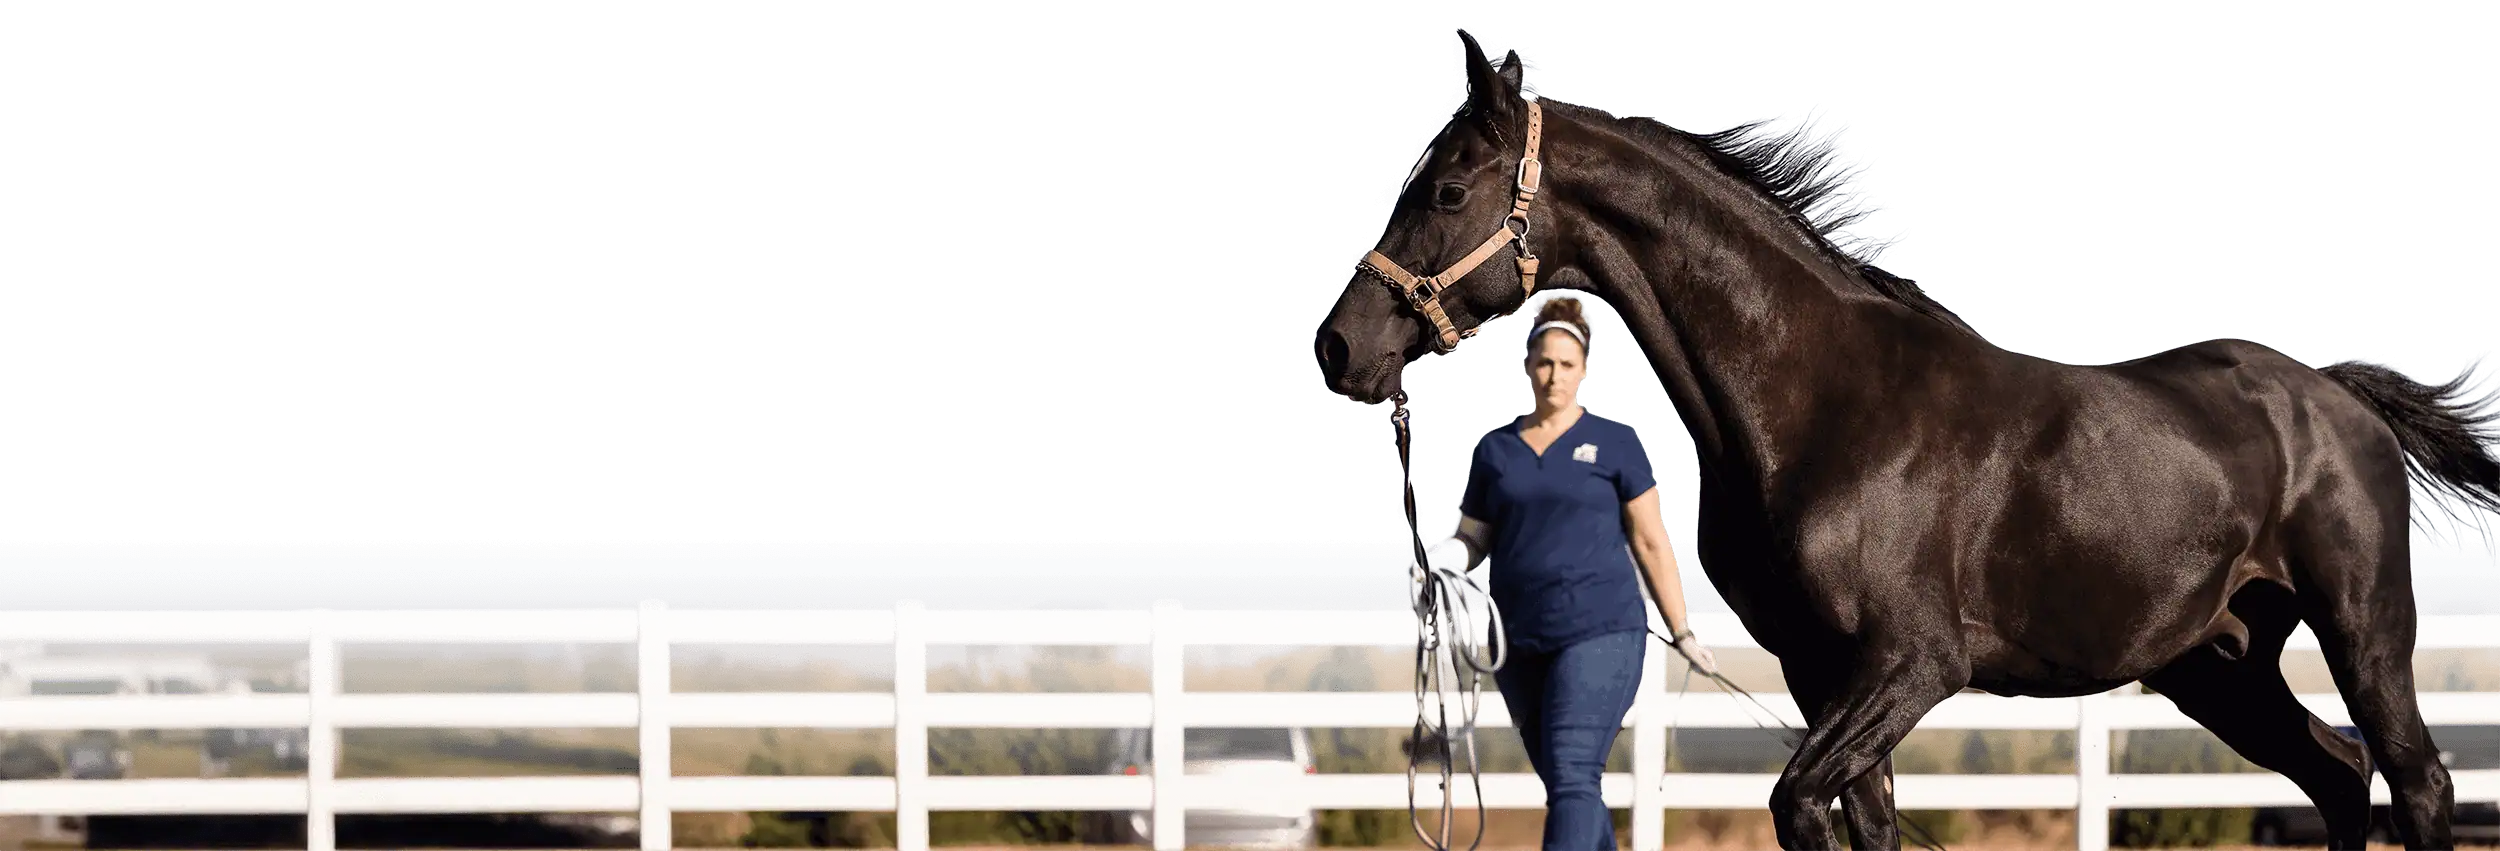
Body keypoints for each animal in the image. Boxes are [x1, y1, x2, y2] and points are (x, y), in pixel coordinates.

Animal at [1311, 27, 2500, 851]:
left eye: (1446, 189)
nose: (1338, 346)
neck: (1822, 404)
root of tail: (2335, 398)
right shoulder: (1817, 669)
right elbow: (1858, 817)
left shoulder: (1913, 660)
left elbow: (1799, 800)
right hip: (2220, 665)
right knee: (2338, 775)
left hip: (2361, 630)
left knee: (2415, 781)